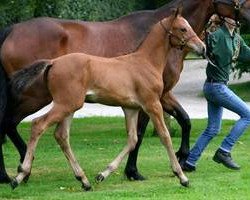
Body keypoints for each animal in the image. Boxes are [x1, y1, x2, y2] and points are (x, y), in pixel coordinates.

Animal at [10, 11, 205, 190]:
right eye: (183, 28)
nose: (202, 47)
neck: (145, 62)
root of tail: (53, 62)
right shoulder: (152, 104)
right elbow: (165, 136)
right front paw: (181, 176)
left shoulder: (131, 108)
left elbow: (132, 139)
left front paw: (103, 174)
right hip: (65, 105)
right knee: (38, 124)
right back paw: (20, 175)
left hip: (69, 107)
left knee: (61, 135)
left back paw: (84, 180)